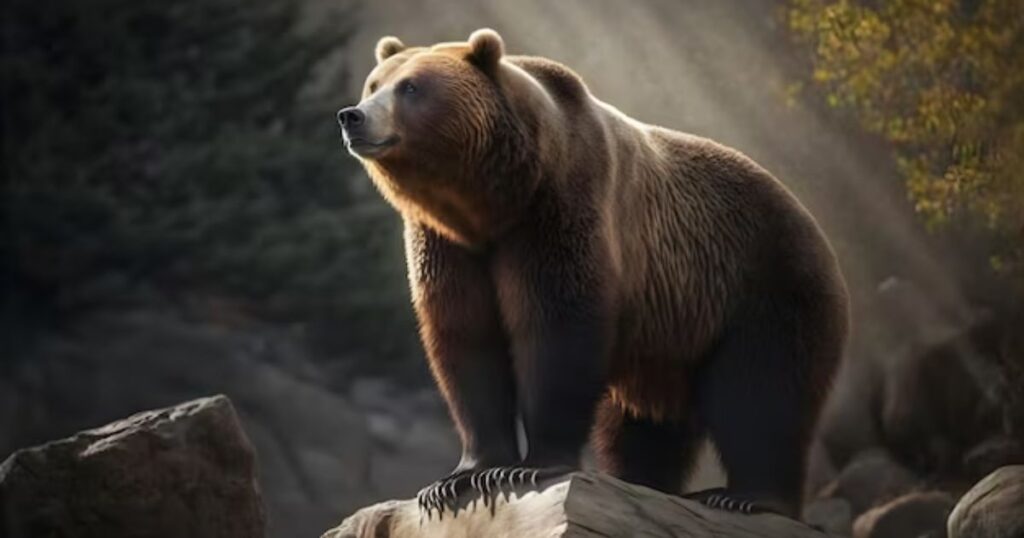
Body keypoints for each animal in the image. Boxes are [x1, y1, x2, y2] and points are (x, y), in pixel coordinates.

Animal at [336, 29, 850, 519]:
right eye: (374, 84)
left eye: (411, 87)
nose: (352, 116)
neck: (490, 203)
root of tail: (816, 226)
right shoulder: (450, 248)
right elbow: (466, 341)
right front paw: (458, 478)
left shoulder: (560, 212)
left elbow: (558, 331)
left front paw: (528, 467)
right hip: (667, 343)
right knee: (643, 422)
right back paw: (643, 481)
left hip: (762, 285)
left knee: (761, 394)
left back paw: (747, 497)